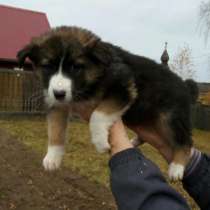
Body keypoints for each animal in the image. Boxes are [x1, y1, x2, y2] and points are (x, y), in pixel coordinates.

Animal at [17, 26, 198, 180]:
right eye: (47, 66)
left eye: (76, 67)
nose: (59, 93)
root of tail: (185, 85)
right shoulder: (57, 104)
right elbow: (55, 128)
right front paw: (52, 156)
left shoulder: (123, 88)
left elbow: (97, 115)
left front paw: (100, 142)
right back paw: (135, 141)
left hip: (170, 118)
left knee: (186, 141)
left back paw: (177, 167)